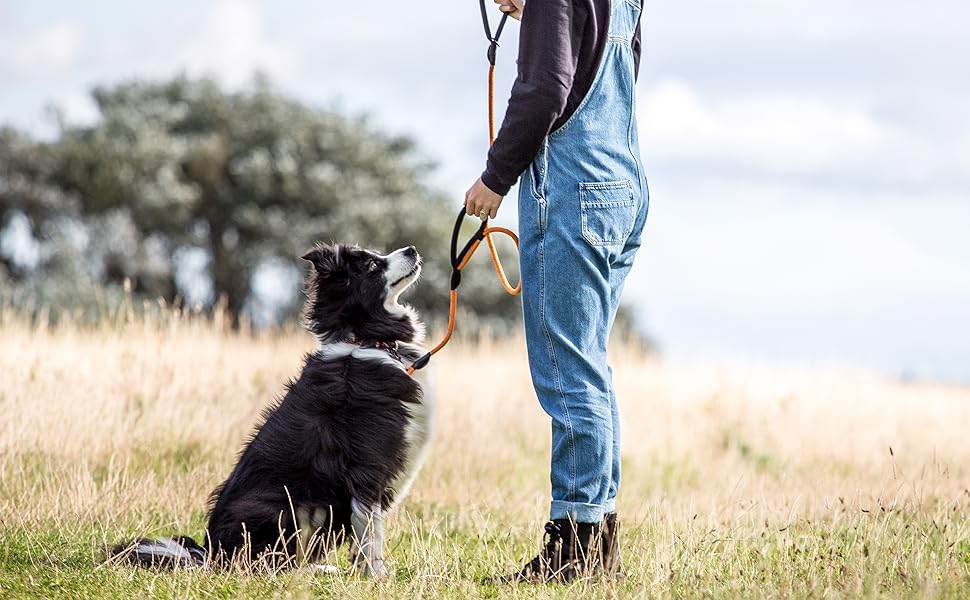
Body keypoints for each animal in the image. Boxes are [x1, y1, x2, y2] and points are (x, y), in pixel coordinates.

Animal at [113, 244, 432, 576]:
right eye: (372, 265)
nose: (412, 249)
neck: (363, 339)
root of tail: (211, 554)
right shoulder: (366, 468)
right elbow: (371, 533)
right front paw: (377, 578)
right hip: (282, 507)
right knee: (266, 563)